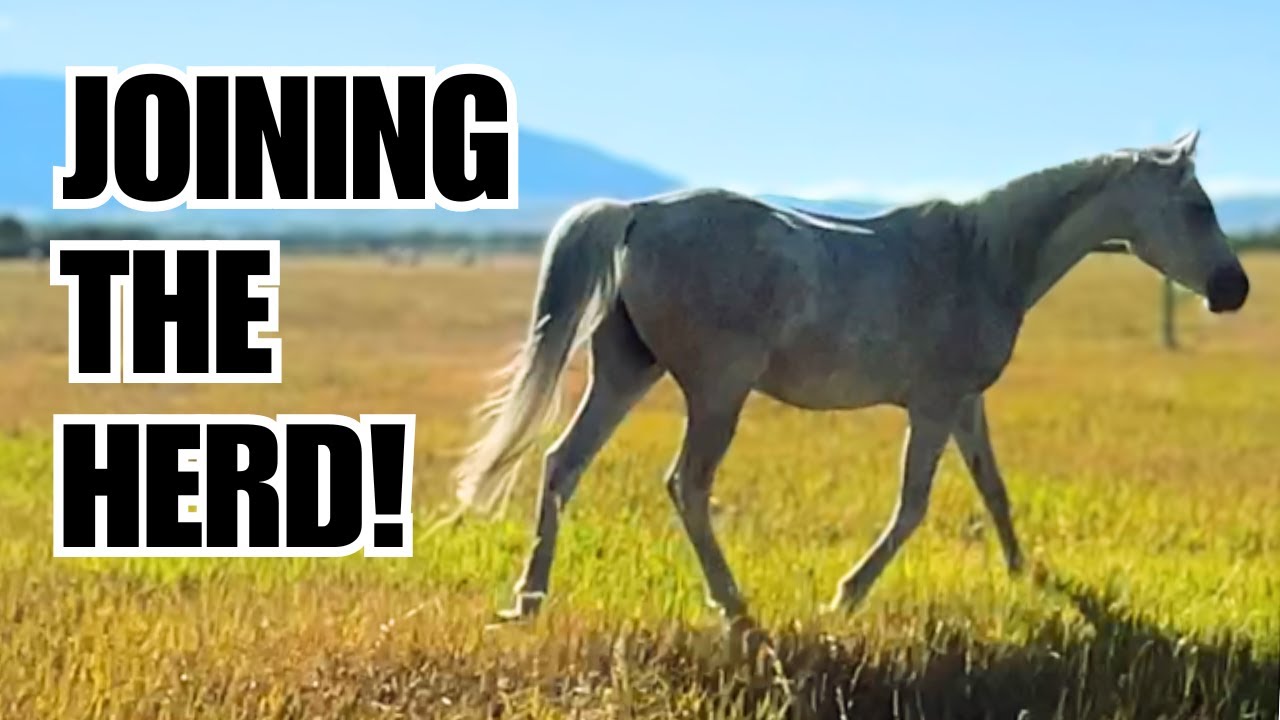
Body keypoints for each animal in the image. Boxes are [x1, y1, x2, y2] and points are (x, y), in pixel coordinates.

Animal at [453, 130, 1249, 621]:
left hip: (627, 373)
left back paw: (529, 598)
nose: (1234, 289)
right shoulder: (932, 407)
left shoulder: (965, 404)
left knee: (562, 464)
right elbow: (913, 506)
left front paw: (1027, 575)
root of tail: (637, 214)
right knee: (686, 485)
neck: (984, 258)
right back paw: (732, 604)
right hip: (715, 393)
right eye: (1197, 206)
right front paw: (847, 596)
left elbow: (993, 489)